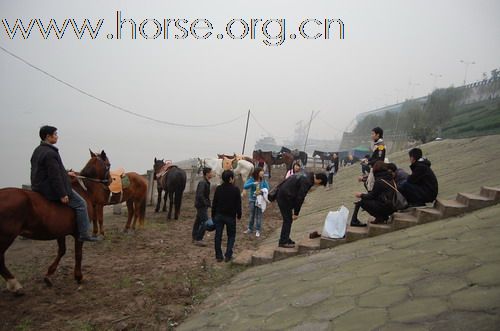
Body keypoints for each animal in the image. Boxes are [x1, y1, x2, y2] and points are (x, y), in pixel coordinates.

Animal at [0, 153, 110, 296]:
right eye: (108, 164)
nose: (110, 181)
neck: (83, 190)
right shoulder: (78, 234)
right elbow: (78, 254)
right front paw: (79, 276)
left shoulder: (60, 232)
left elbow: (62, 251)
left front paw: (48, 275)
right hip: (6, 237)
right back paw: (15, 285)